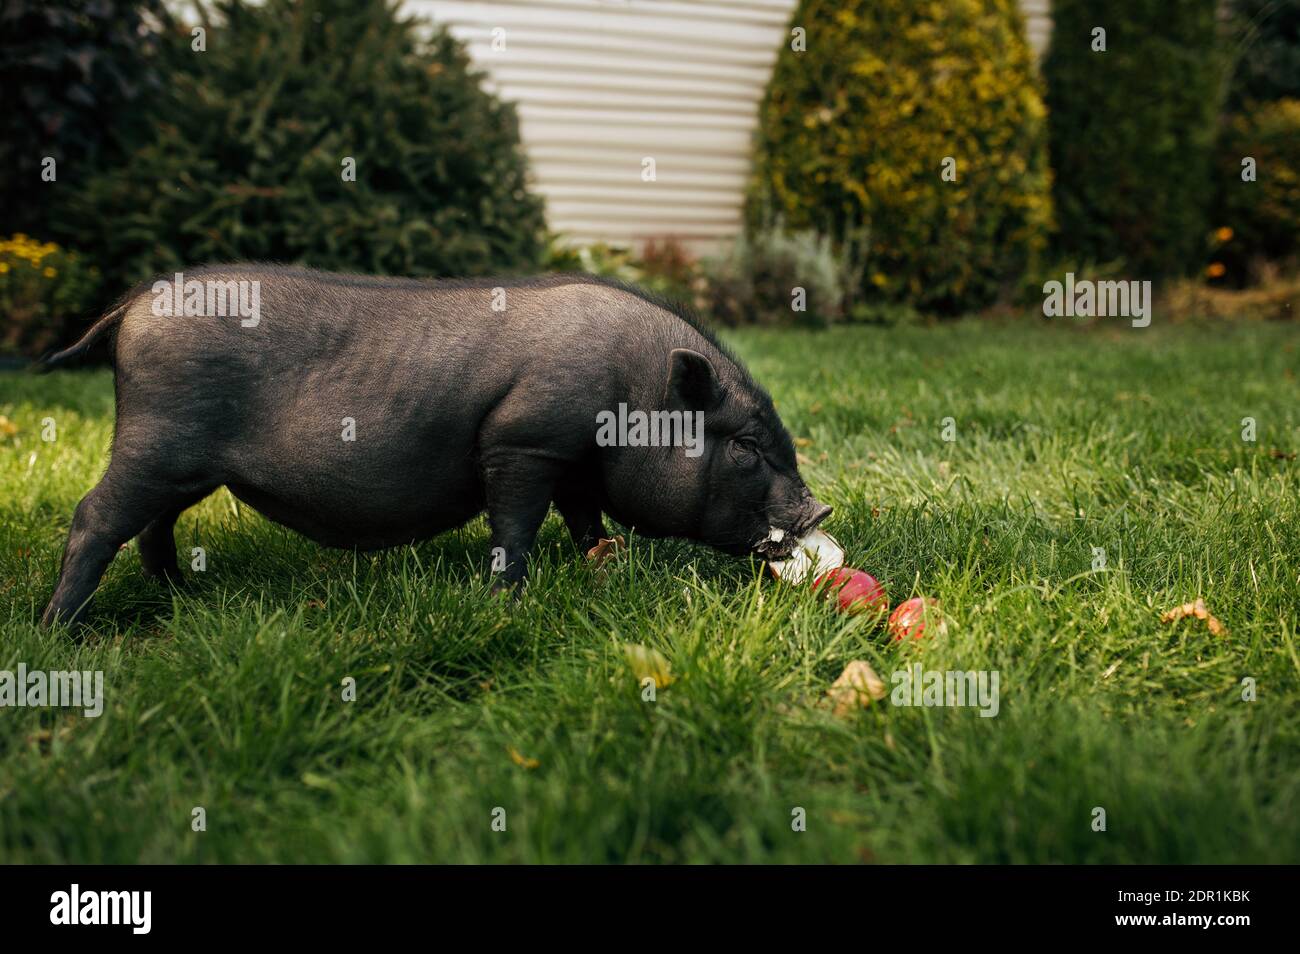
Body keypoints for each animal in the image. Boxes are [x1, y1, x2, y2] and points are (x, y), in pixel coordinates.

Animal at [43, 269, 832, 629]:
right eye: (748, 445)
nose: (820, 511)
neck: (632, 391)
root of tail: (135, 303)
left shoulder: (575, 461)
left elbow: (586, 518)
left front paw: (606, 567)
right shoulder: (524, 441)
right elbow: (514, 525)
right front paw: (508, 599)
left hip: (182, 463)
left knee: (156, 523)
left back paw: (181, 593)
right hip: (155, 439)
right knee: (94, 516)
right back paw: (60, 630)